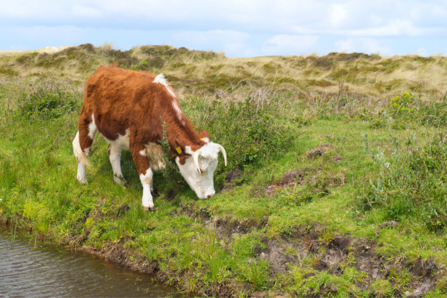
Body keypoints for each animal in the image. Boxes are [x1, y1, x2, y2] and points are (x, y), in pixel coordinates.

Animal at [73, 63, 229, 212]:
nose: (210, 195)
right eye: (200, 170)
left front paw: (152, 190)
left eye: (214, 167)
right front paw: (147, 202)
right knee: (83, 150)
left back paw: (120, 180)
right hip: (86, 120)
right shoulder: (137, 144)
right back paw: (82, 179)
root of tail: (102, 69)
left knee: (113, 153)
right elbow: (146, 175)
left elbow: (151, 171)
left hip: (115, 132)